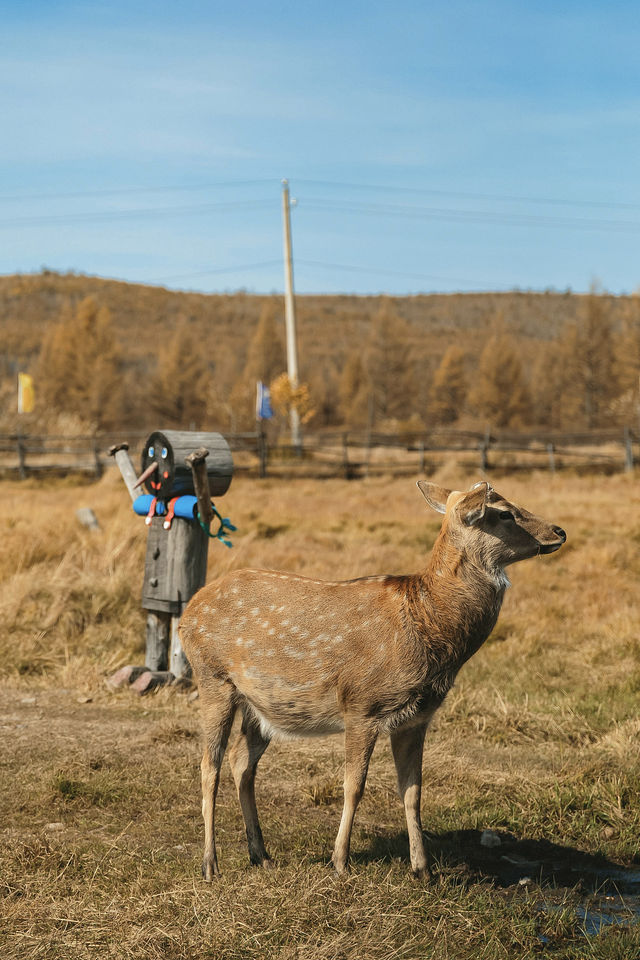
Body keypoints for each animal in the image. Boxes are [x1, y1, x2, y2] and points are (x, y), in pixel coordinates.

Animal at [179, 480, 564, 876]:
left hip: (261, 705)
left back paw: (261, 854)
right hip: (212, 677)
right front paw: (340, 862)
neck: (429, 624)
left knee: (241, 762)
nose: (559, 532)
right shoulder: (361, 703)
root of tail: (188, 611)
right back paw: (210, 864)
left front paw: (422, 868)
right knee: (209, 765)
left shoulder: (417, 717)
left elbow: (413, 790)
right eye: (503, 513)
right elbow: (354, 785)